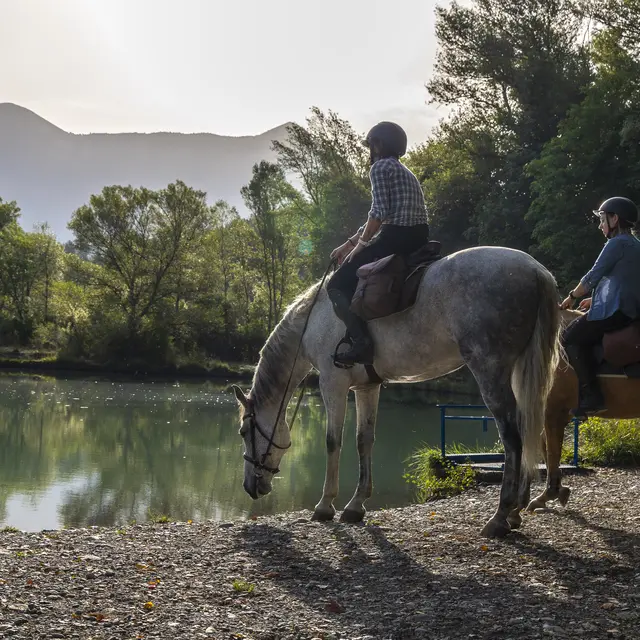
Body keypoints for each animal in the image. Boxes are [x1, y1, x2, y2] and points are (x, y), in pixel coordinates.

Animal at [232, 246, 561, 538]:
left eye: (243, 432)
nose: (250, 486)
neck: (313, 318)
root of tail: (535, 270)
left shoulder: (332, 383)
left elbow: (333, 441)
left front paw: (325, 506)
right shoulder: (367, 387)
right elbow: (364, 441)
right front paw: (355, 506)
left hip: (490, 370)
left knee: (513, 438)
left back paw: (500, 516)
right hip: (519, 371)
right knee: (529, 428)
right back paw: (516, 511)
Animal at [525, 308, 640, 512]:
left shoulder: (553, 412)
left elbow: (552, 452)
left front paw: (549, 493)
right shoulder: (554, 414)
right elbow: (547, 449)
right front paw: (557, 491)